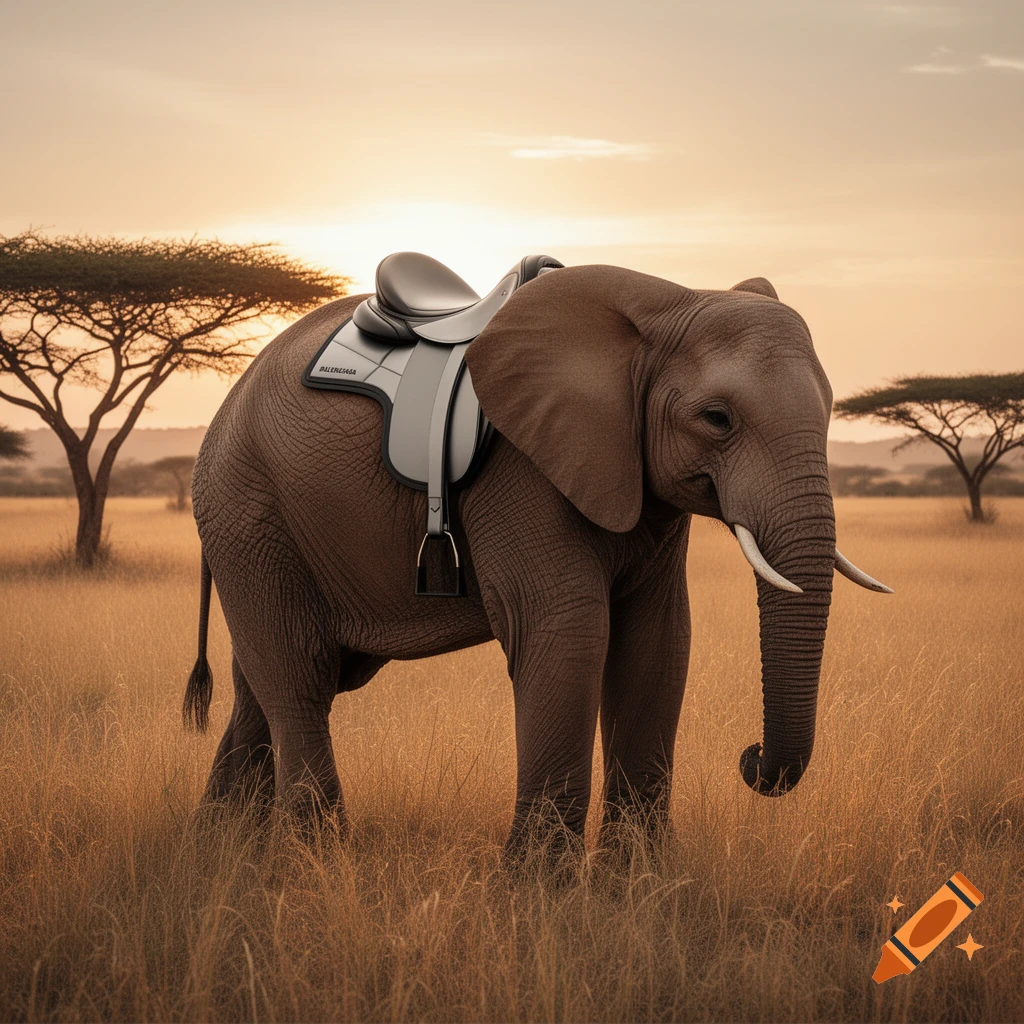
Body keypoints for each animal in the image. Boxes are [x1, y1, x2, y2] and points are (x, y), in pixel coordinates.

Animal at [184, 263, 890, 861]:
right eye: (717, 418)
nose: (750, 757)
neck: (664, 302)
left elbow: (657, 640)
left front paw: (637, 886)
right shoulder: (522, 466)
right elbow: (568, 631)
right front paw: (536, 892)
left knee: (271, 684)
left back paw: (222, 851)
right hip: (248, 507)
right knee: (300, 677)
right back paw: (317, 861)